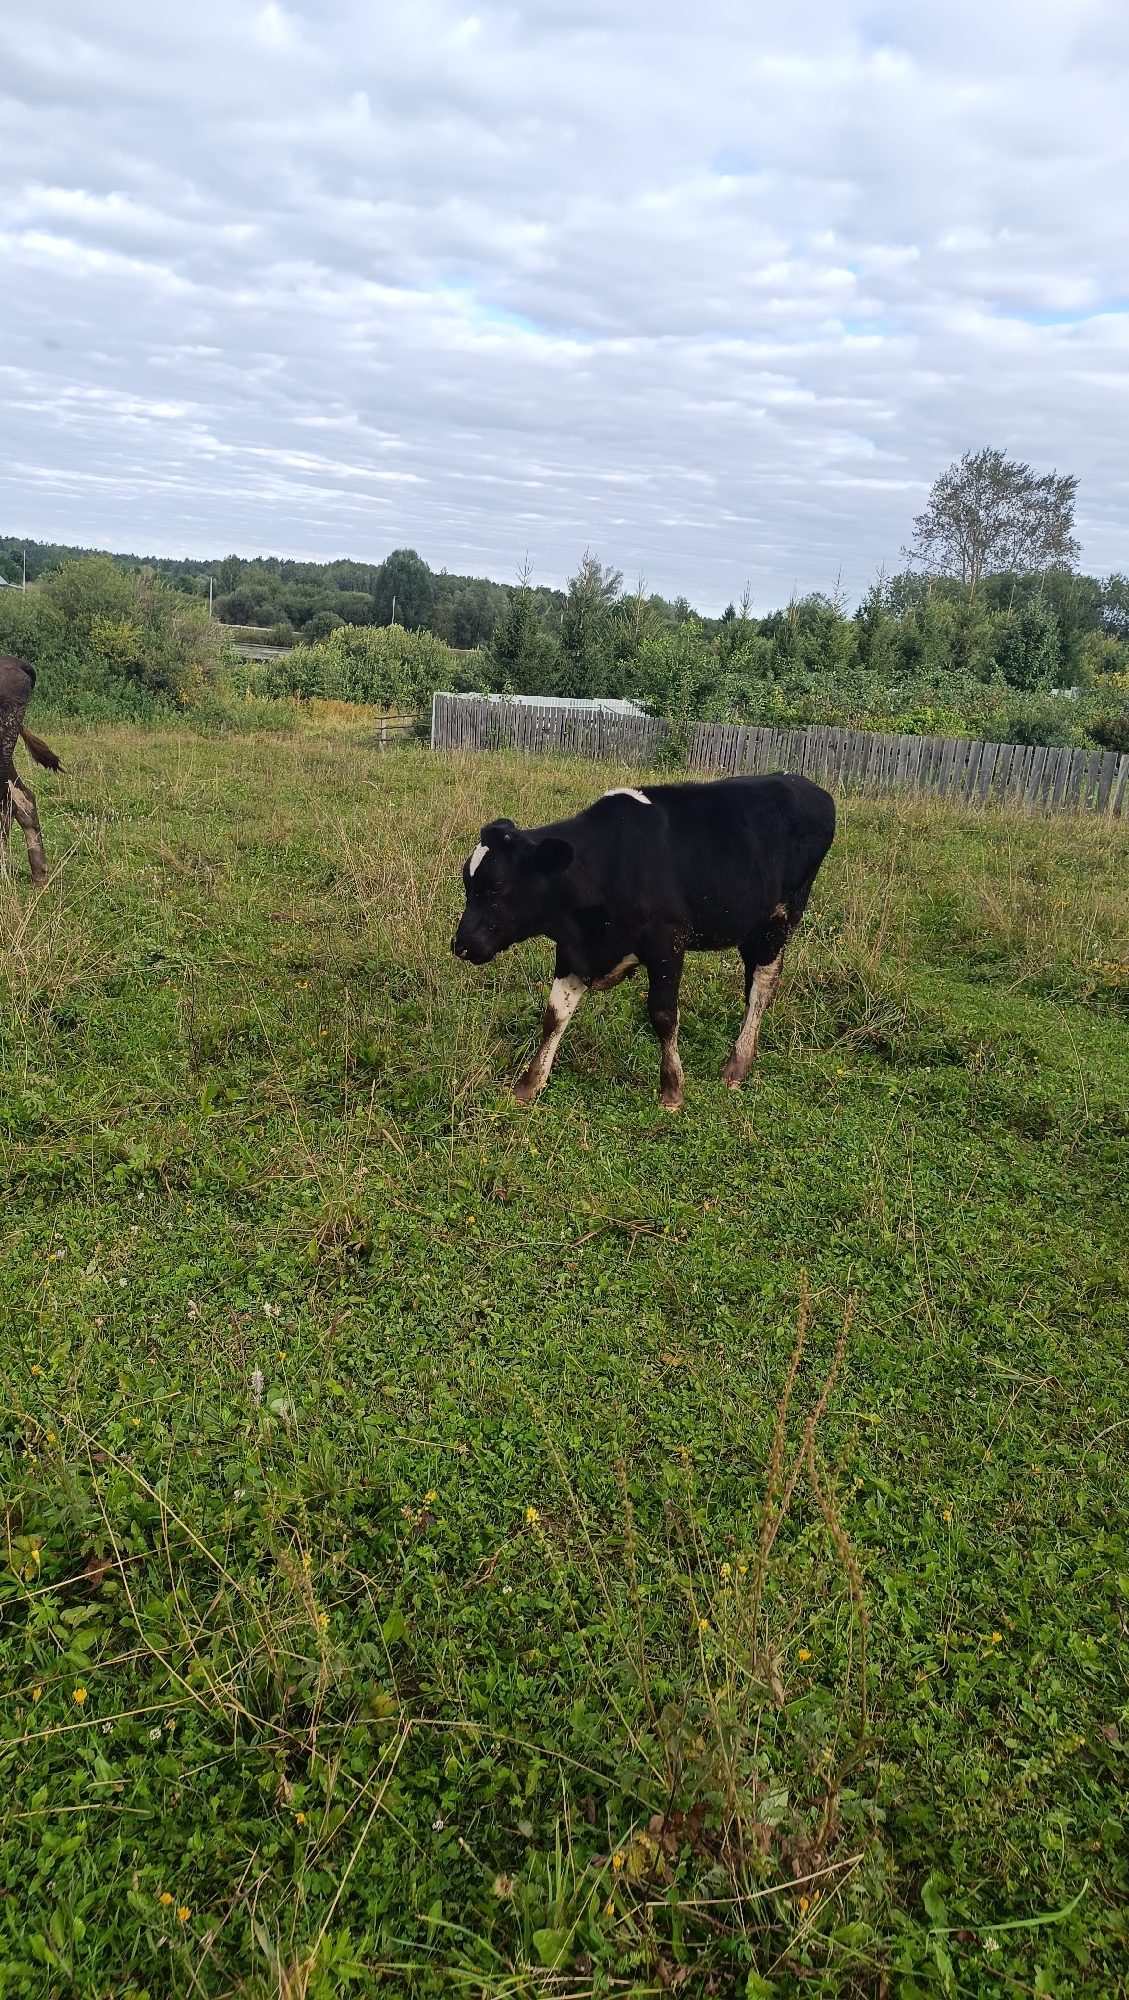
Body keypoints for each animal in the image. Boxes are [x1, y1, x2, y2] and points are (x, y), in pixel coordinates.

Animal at [452, 772, 835, 1110]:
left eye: (497, 886)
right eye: (467, 882)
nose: (462, 944)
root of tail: (807, 785)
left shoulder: (668, 942)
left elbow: (663, 1014)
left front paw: (672, 1090)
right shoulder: (573, 948)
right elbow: (554, 1016)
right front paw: (529, 1084)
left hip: (780, 919)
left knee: (762, 988)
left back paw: (736, 1068)